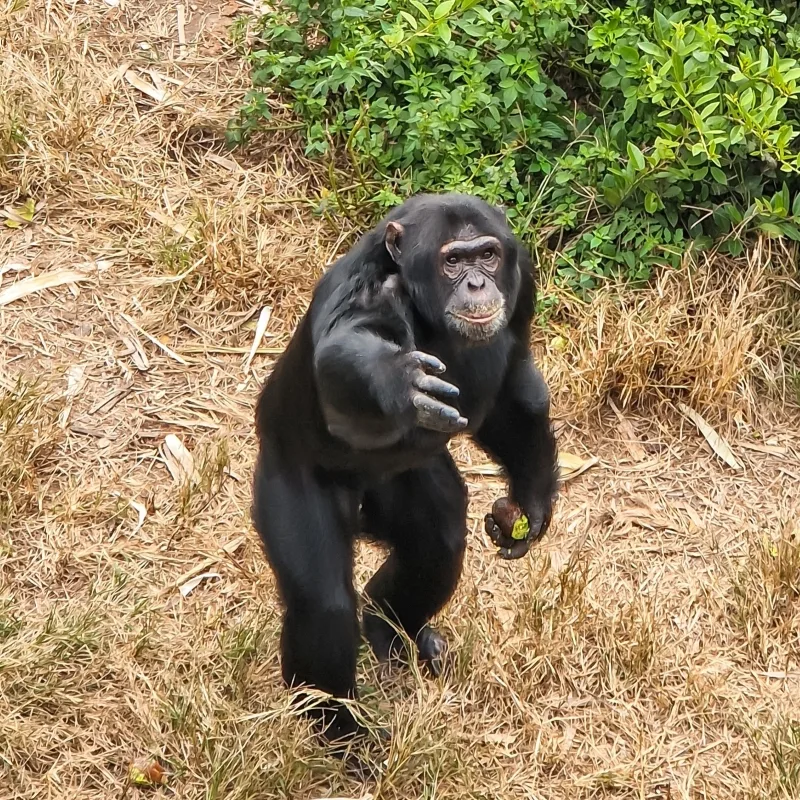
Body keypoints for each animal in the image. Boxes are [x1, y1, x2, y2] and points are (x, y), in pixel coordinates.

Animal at [253, 194, 560, 744]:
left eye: (486, 255)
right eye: (452, 261)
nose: (476, 284)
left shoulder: (523, 281)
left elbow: (514, 385)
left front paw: (530, 500)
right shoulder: (370, 302)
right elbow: (348, 356)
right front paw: (400, 379)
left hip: (402, 484)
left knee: (436, 542)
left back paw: (388, 630)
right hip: (286, 473)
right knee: (322, 606)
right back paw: (342, 733)